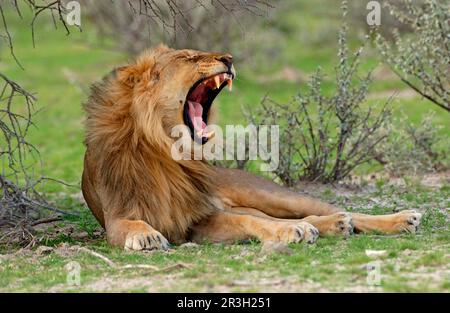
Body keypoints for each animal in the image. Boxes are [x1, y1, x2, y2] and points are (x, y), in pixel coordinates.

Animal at [81, 44, 422, 250]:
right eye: (189, 58)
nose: (229, 59)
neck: (166, 151)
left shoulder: (200, 218)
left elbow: (252, 222)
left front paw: (291, 233)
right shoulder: (119, 217)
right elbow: (131, 224)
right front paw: (147, 234)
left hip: (271, 194)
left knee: (327, 210)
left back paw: (399, 219)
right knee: (301, 218)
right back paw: (329, 226)